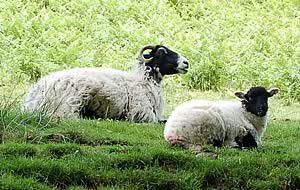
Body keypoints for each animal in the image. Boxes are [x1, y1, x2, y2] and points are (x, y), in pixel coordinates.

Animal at [23, 44, 189, 122]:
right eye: (162, 52)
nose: (186, 63)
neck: (143, 82)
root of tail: (35, 97)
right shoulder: (142, 113)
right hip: (71, 102)